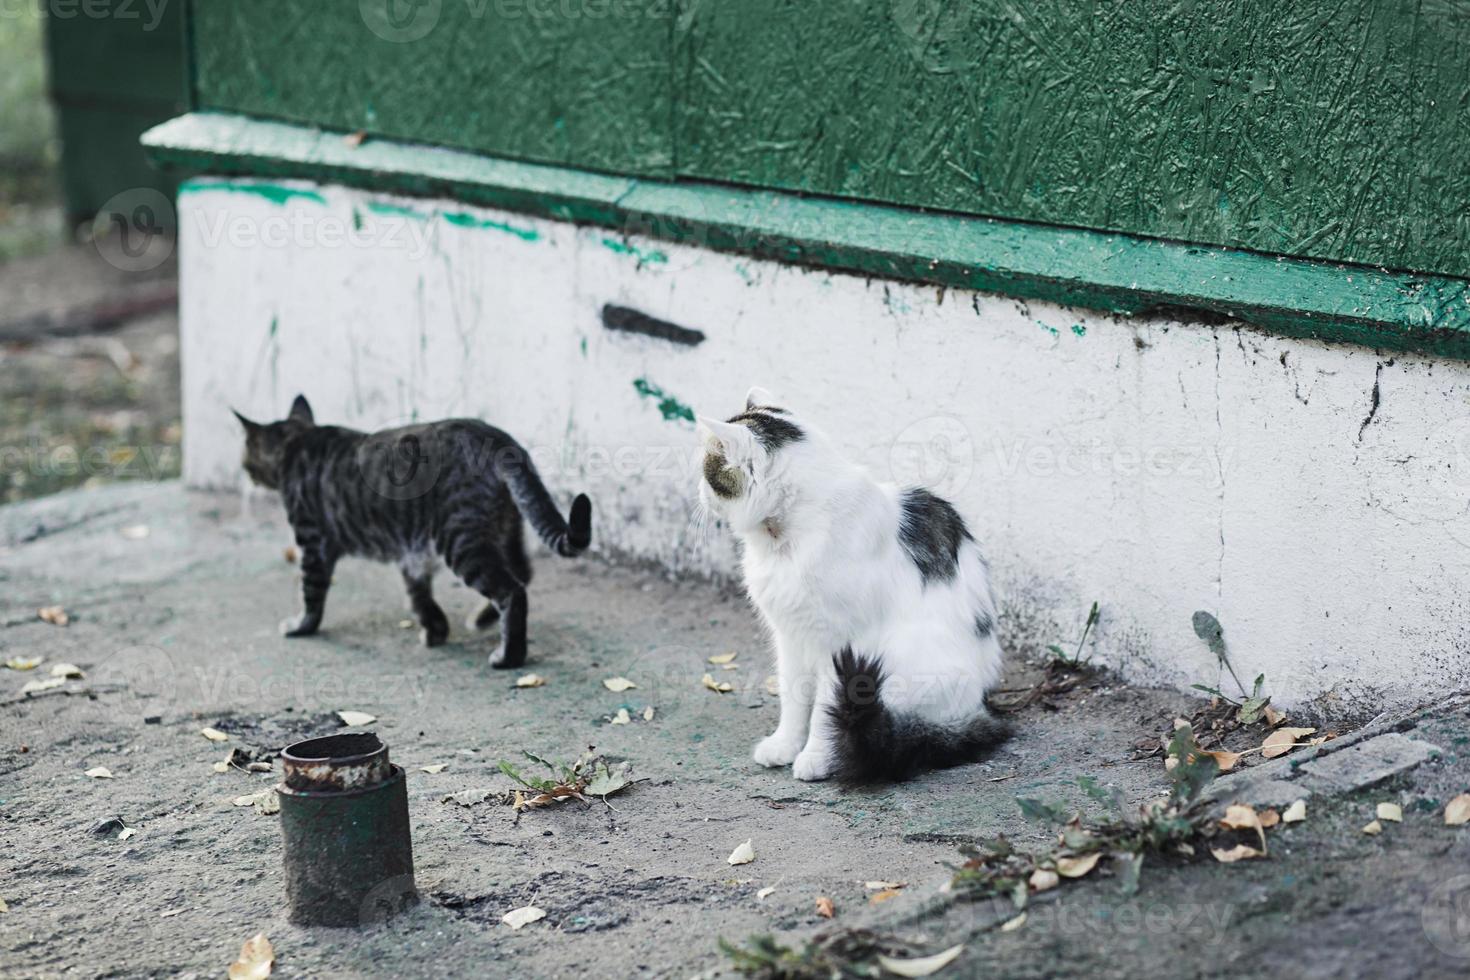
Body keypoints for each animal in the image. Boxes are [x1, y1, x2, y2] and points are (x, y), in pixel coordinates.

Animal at [235, 396, 590, 667]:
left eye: (246, 459)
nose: (246, 474)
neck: (297, 441)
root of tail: (495, 436)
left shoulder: (313, 543)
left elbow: (311, 593)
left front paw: (300, 627)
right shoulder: (412, 552)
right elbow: (418, 594)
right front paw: (436, 630)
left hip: (462, 540)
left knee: (511, 589)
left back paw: (508, 656)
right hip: (505, 529)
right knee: (523, 573)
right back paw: (483, 619)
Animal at [693, 387, 1005, 781]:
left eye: (706, 471)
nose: (698, 493)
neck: (784, 538)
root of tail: (978, 706)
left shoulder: (838, 643)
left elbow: (824, 709)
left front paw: (817, 758)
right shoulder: (789, 635)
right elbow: (794, 699)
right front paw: (784, 745)